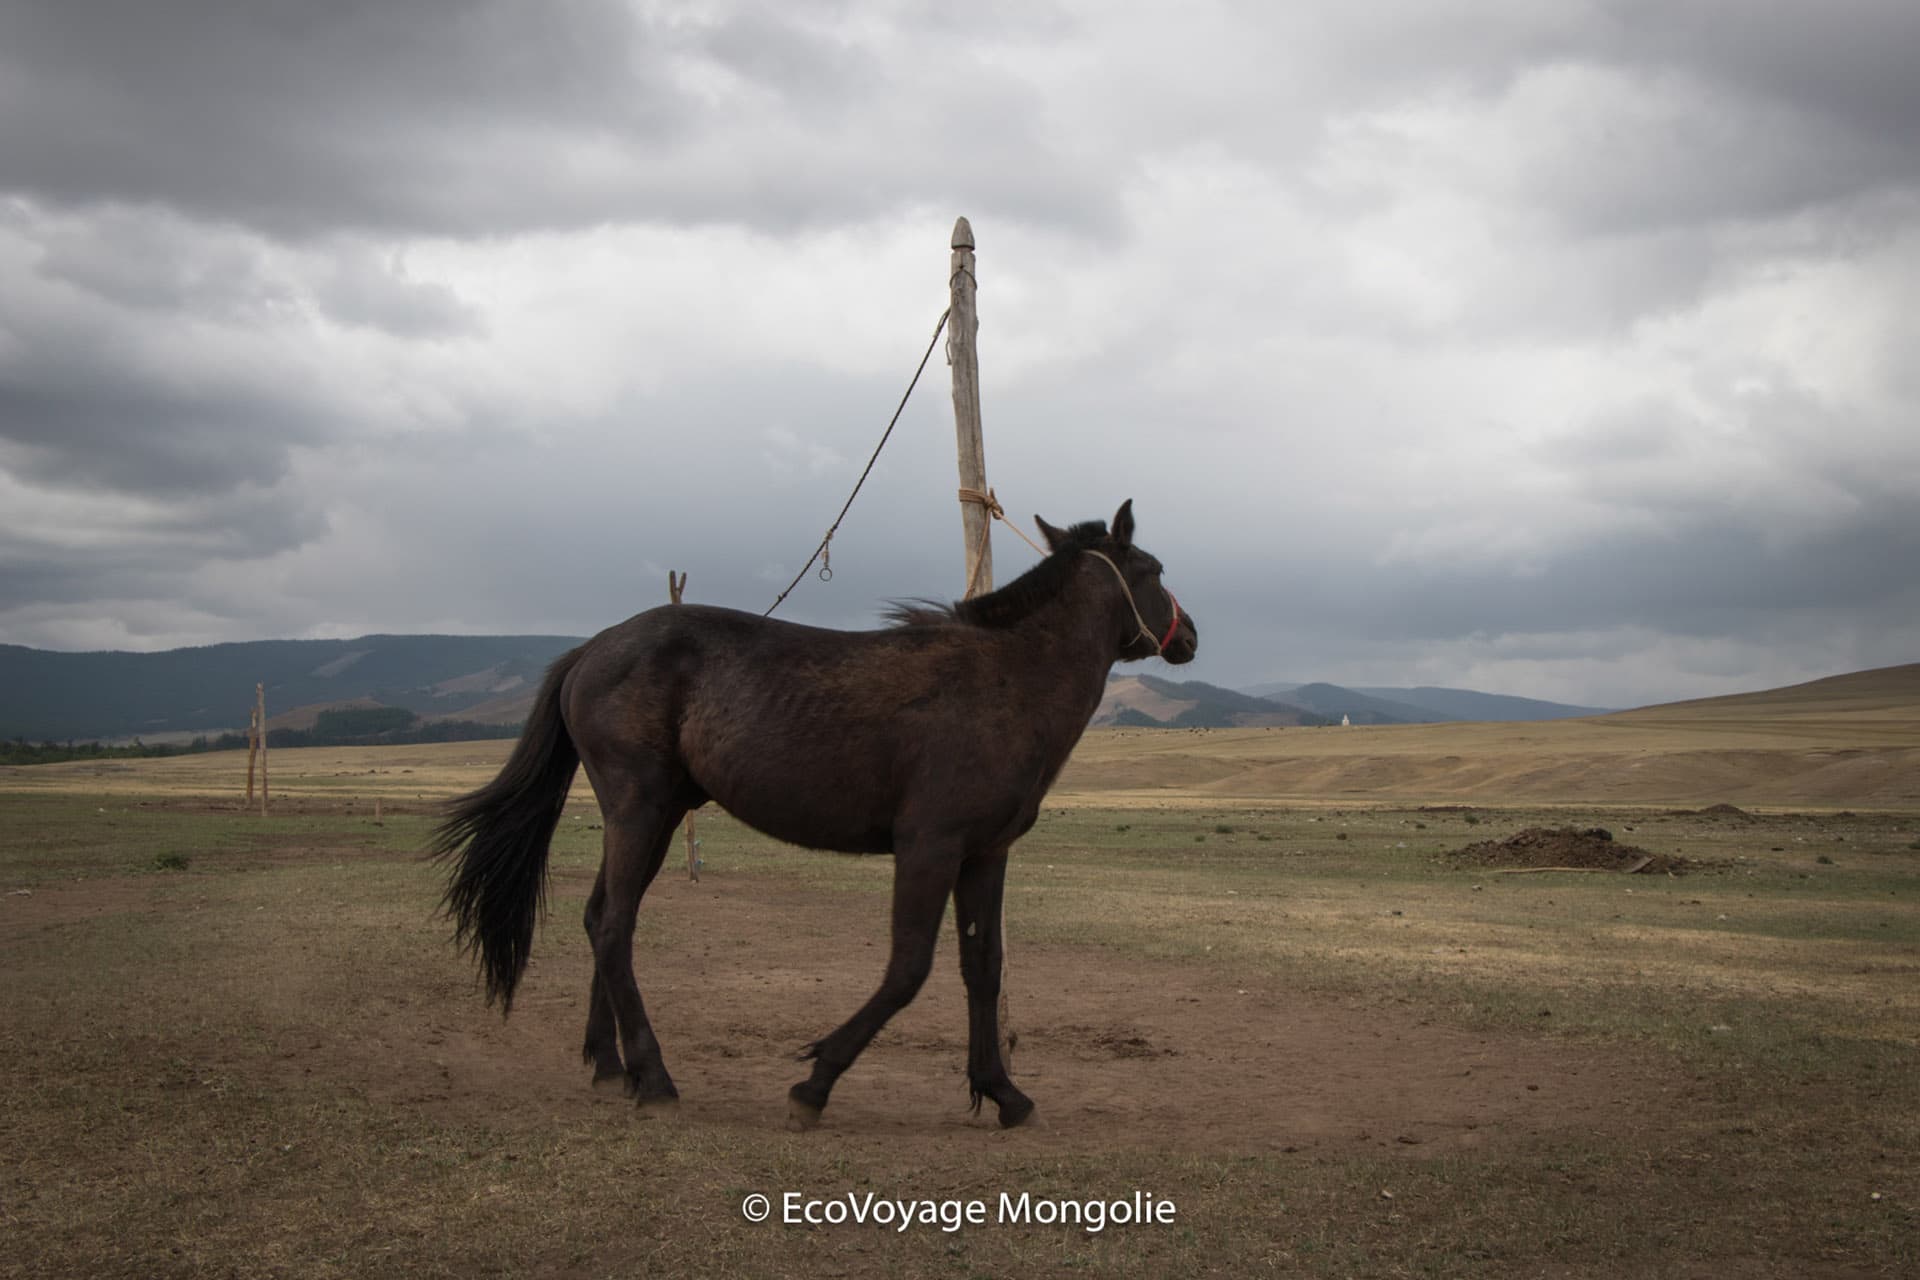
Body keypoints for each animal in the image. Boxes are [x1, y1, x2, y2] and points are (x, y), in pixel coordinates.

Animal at [432, 499, 1197, 1129]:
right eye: (1155, 569)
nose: (1189, 634)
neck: (1008, 679)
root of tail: (594, 647)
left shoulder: (984, 853)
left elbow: (983, 967)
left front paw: (1001, 1090)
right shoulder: (930, 846)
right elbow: (908, 969)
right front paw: (817, 1082)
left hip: (655, 818)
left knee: (602, 919)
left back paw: (611, 1066)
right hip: (639, 807)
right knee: (613, 924)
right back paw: (654, 1078)